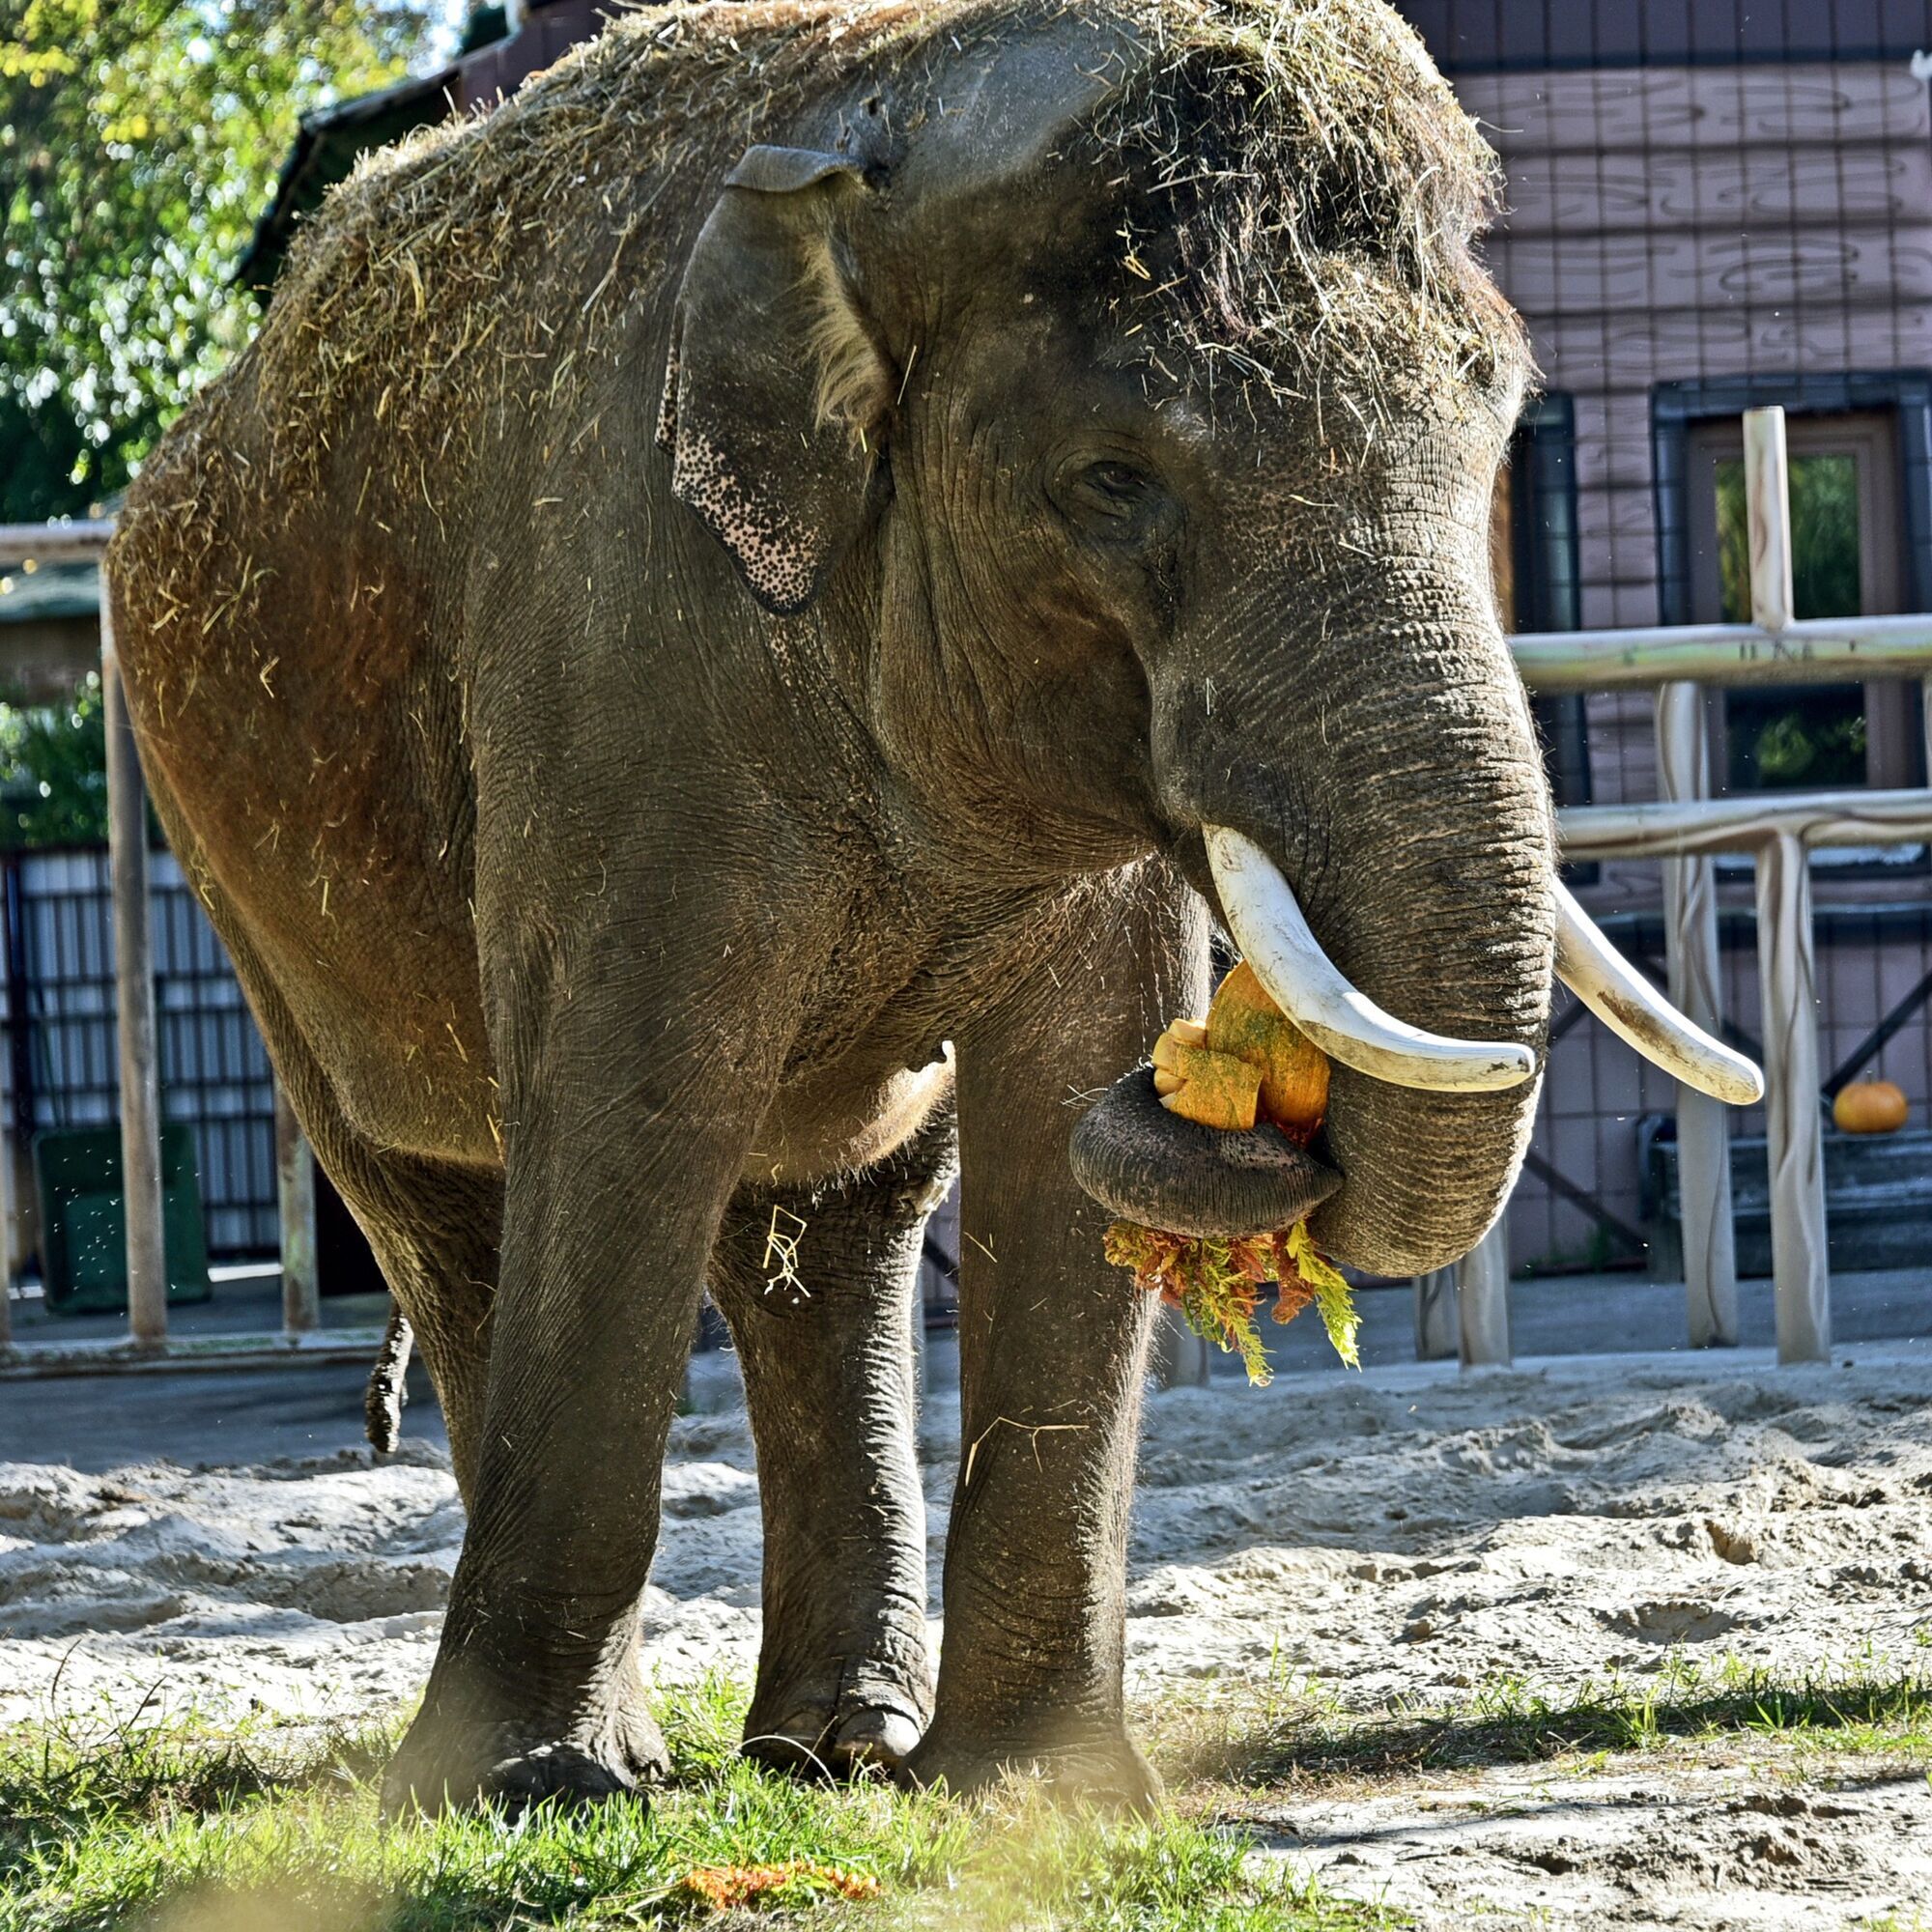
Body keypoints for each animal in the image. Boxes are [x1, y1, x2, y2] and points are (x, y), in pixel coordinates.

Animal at [113, 0, 1762, 1808]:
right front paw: (535, 1793)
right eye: (1113, 480)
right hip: (230, 854)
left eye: (1500, 430)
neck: (895, 134)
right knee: (440, 1208)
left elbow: (1060, 1087)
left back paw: (832, 1746)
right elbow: (632, 1111)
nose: (1255, 1108)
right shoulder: (615, 655)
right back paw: (564, 1762)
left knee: (836, 1214)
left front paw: (1040, 1790)